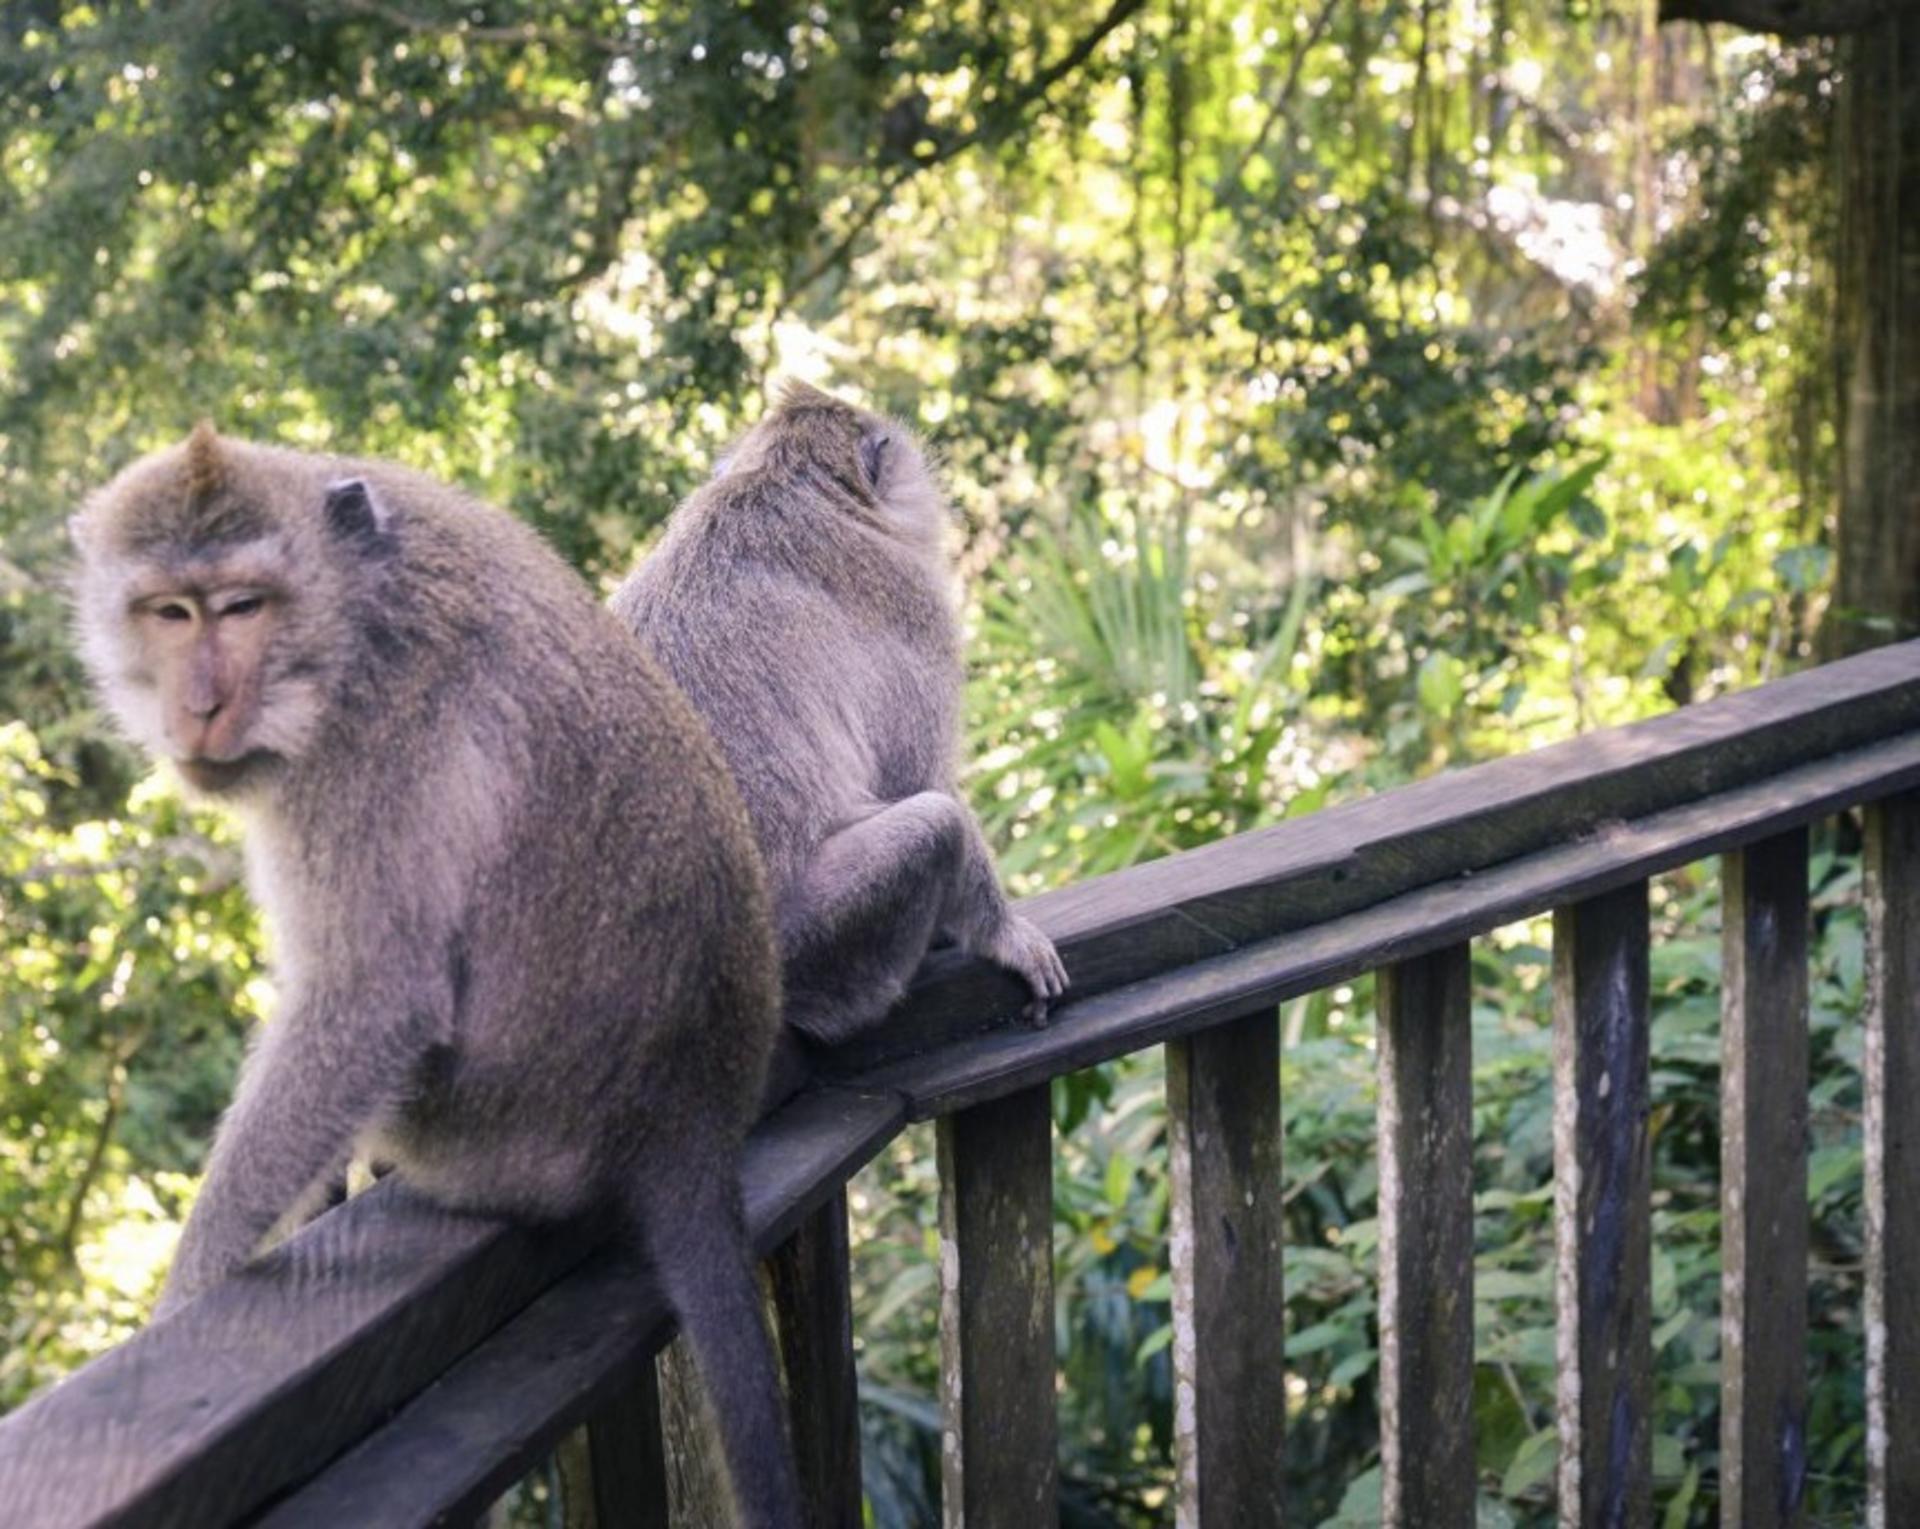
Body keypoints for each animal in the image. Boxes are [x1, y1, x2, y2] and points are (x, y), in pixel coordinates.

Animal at [68, 424, 801, 1528]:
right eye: (169, 611)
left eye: (242, 607)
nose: (201, 704)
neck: (350, 605)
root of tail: (692, 1113)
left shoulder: (363, 749)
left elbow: (370, 1000)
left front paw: (184, 1294)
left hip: (488, 1141)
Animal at [610, 382, 1069, 1048]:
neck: (783, 482)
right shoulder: (913, 604)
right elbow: (922, 781)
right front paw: (1004, 935)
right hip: (809, 943)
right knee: (935, 825)